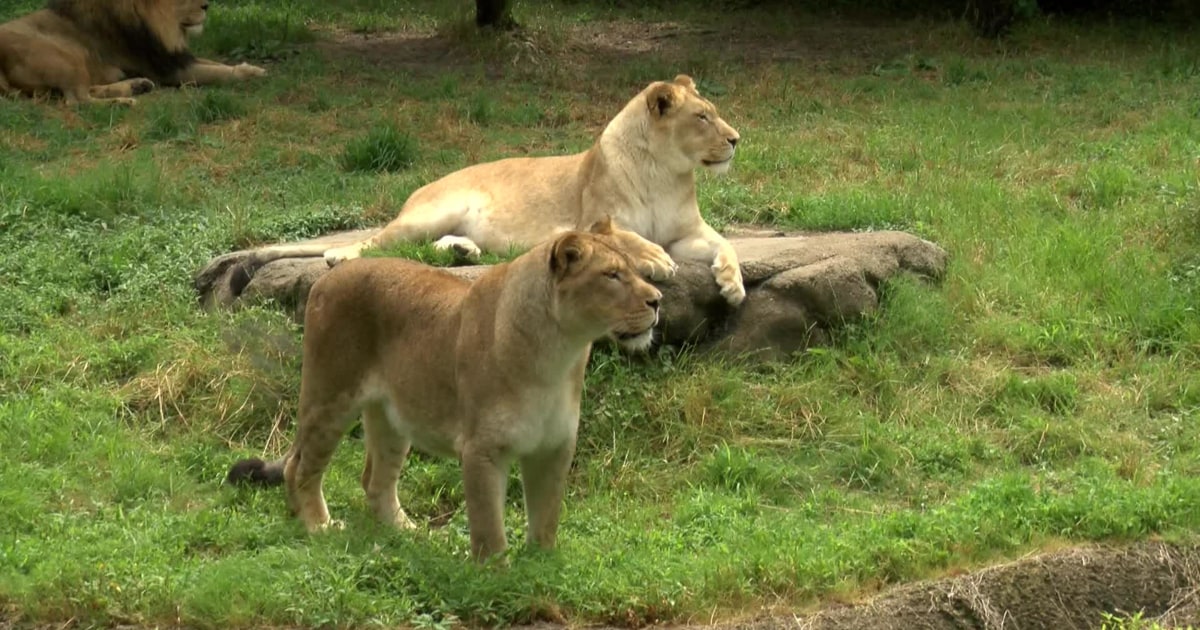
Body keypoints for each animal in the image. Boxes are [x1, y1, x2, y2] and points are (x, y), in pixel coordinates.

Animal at [0, 0, 265, 104]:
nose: (206, 5)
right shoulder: (167, 69)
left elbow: (216, 63)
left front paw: (250, 67)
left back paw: (135, 86)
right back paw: (124, 101)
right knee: (77, 100)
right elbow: (217, 73)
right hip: (63, 56)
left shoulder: (174, 56)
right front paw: (251, 74)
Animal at [224, 218, 657, 556]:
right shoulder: (481, 450)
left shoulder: (553, 447)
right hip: (330, 395)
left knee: (376, 480)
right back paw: (318, 526)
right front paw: (498, 577)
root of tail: (327, 277)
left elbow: (546, 517)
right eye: (612, 275)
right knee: (300, 466)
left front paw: (541, 567)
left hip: (392, 418)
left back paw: (410, 535)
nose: (657, 300)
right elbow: (488, 527)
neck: (559, 351)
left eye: (638, 270)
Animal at [267, 73, 744, 304]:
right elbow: (623, 236)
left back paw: (465, 252)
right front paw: (655, 258)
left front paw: (732, 283)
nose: (737, 138)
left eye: (714, 112)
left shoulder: (688, 232)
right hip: (432, 211)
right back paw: (339, 255)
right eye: (702, 117)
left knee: (423, 246)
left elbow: (724, 243)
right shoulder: (585, 222)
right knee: (382, 241)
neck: (664, 171)